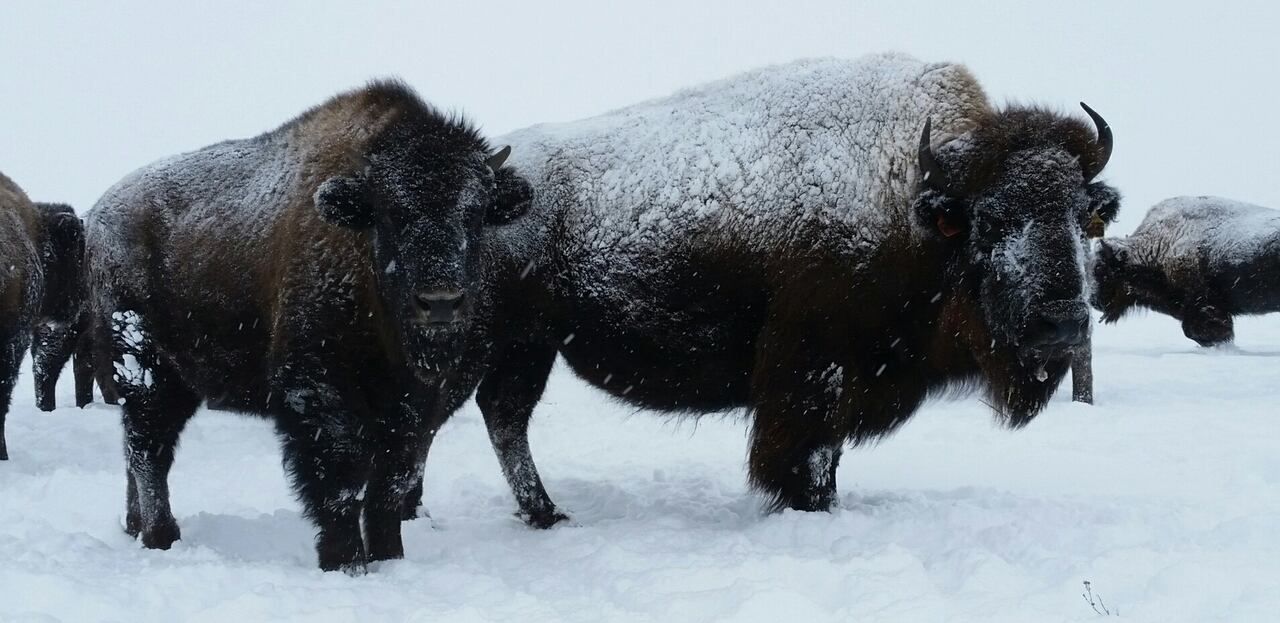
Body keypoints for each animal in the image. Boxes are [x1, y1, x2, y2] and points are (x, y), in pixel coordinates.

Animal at [82, 83, 529, 575]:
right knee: (149, 451)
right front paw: (345, 563)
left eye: (476, 213)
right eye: (391, 213)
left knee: (138, 450)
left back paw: (135, 527)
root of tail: (98, 217)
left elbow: (389, 487)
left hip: (175, 380)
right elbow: (341, 485)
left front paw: (390, 557)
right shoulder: (319, 395)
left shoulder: (412, 408)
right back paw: (162, 536)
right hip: (146, 369)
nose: (441, 301)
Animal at [442, 53, 1121, 524]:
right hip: (484, 345)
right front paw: (809, 507)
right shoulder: (815, 373)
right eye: (992, 220)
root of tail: (493, 180)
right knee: (467, 418)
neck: (915, 202)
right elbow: (807, 456)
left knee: (504, 416)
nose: (1062, 322)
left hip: (529, 348)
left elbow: (828, 455)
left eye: (1079, 215)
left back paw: (545, 515)